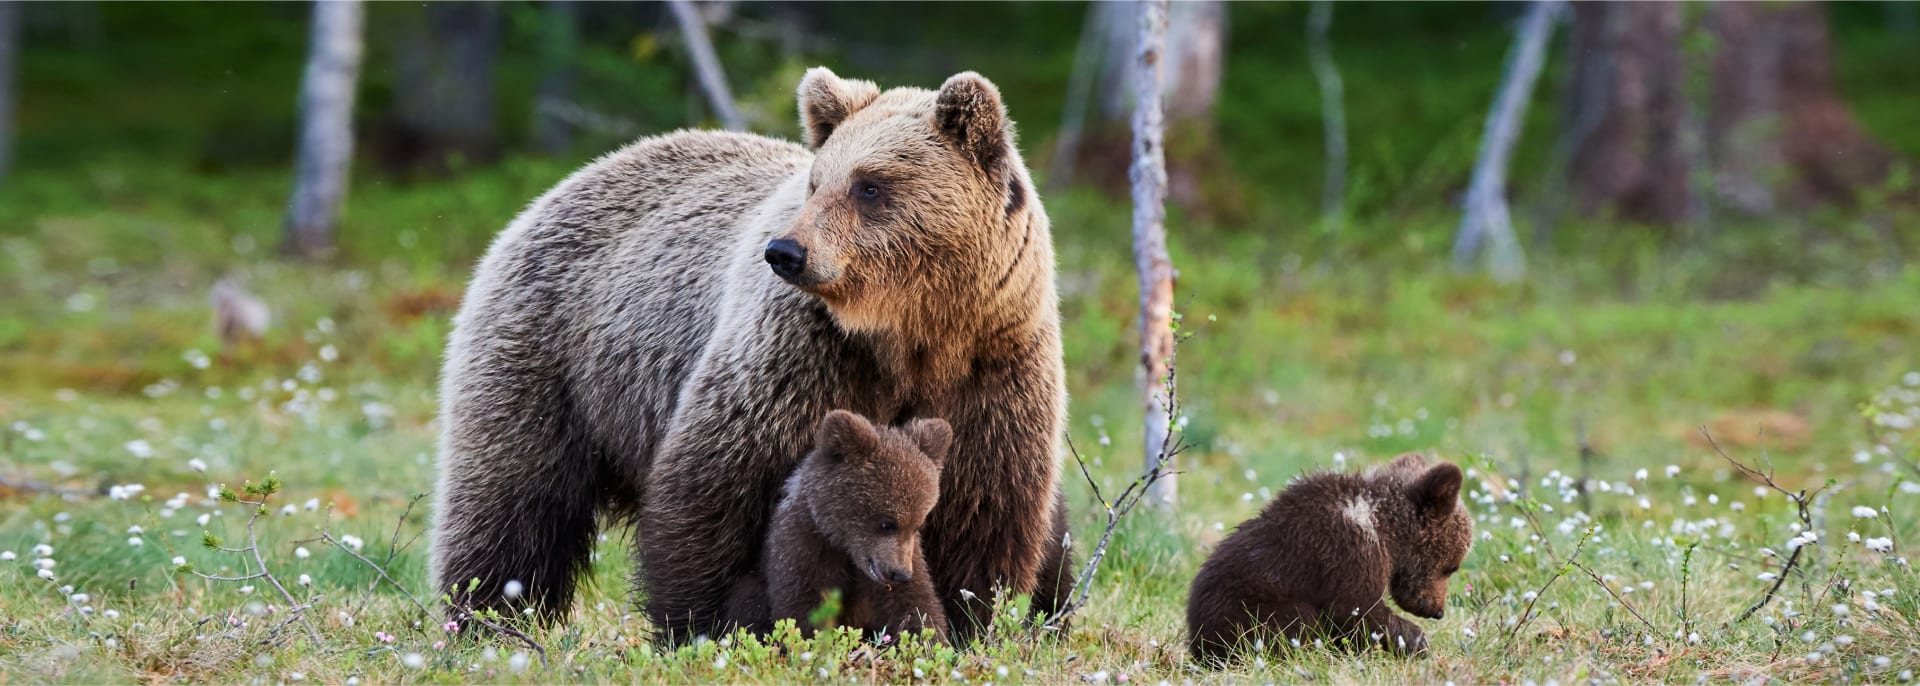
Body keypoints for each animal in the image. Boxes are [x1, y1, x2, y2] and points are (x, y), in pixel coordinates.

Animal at [723, 410, 951, 643]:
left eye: (918, 524)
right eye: (886, 523)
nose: (900, 574)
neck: (844, 547)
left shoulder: (905, 559)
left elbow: (915, 605)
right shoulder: (803, 547)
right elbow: (804, 606)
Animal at [1185, 453, 1472, 665]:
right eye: (1452, 566)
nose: (1437, 610)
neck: (1384, 527)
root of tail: (1197, 641)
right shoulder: (1348, 550)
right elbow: (1356, 609)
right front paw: (1416, 641)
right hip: (1244, 610)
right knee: (1295, 621)